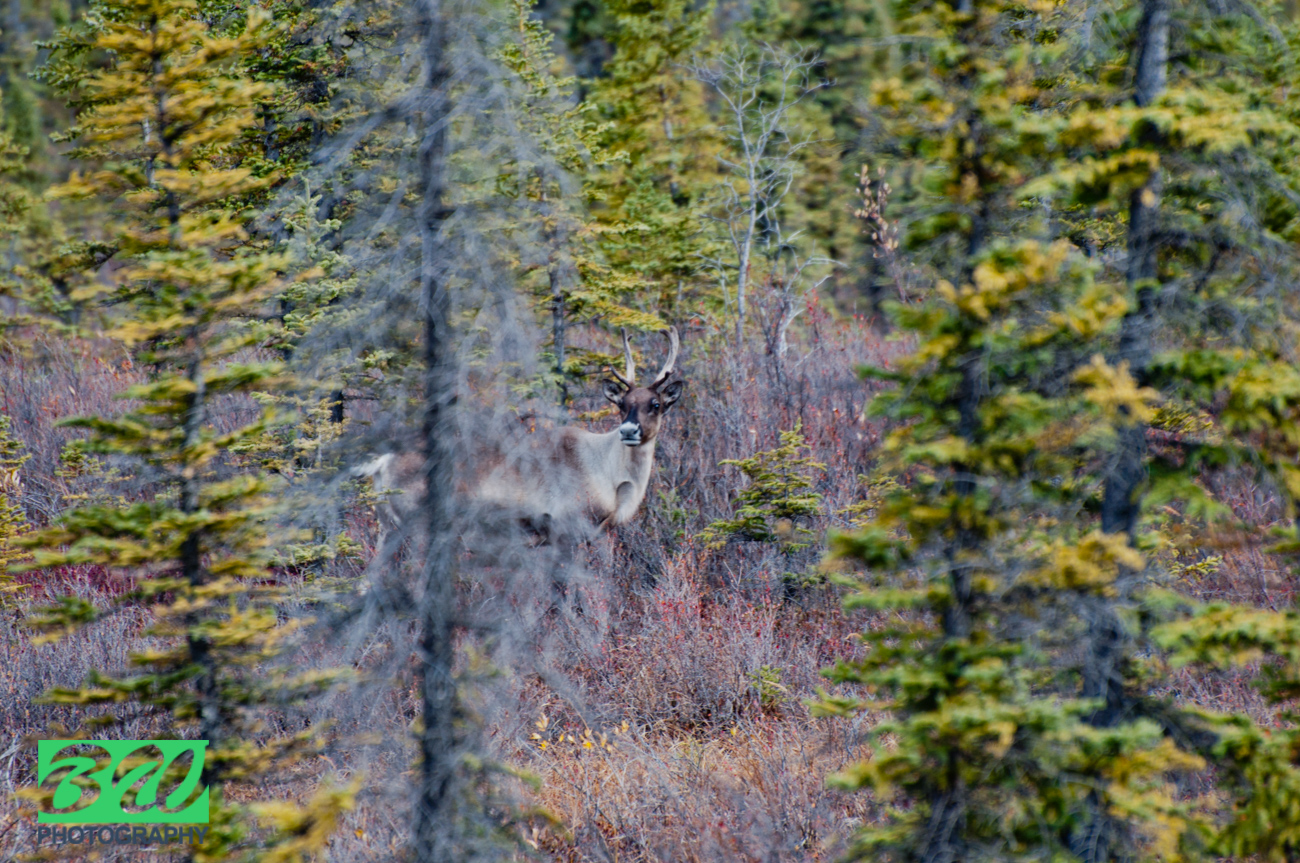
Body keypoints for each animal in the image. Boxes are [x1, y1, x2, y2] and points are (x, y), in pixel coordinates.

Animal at [351, 327, 685, 552]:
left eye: (655, 404)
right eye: (622, 403)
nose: (628, 431)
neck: (610, 478)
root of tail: (383, 460)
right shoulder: (565, 531)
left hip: (386, 527)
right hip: (419, 528)